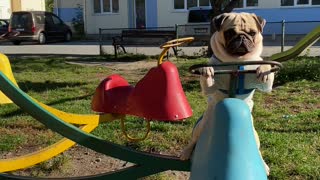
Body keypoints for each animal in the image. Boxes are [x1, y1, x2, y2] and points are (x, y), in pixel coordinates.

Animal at [181, 12, 274, 176]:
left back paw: (263, 165)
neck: (236, 63)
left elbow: (265, 70)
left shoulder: (265, 85)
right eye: (230, 33)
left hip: (255, 136)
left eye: (252, 33)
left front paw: (264, 68)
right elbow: (208, 78)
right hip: (200, 127)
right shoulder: (210, 87)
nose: (242, 37)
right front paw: (207, 70)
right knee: (192, 141)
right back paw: (186, 152)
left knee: (258, 150)